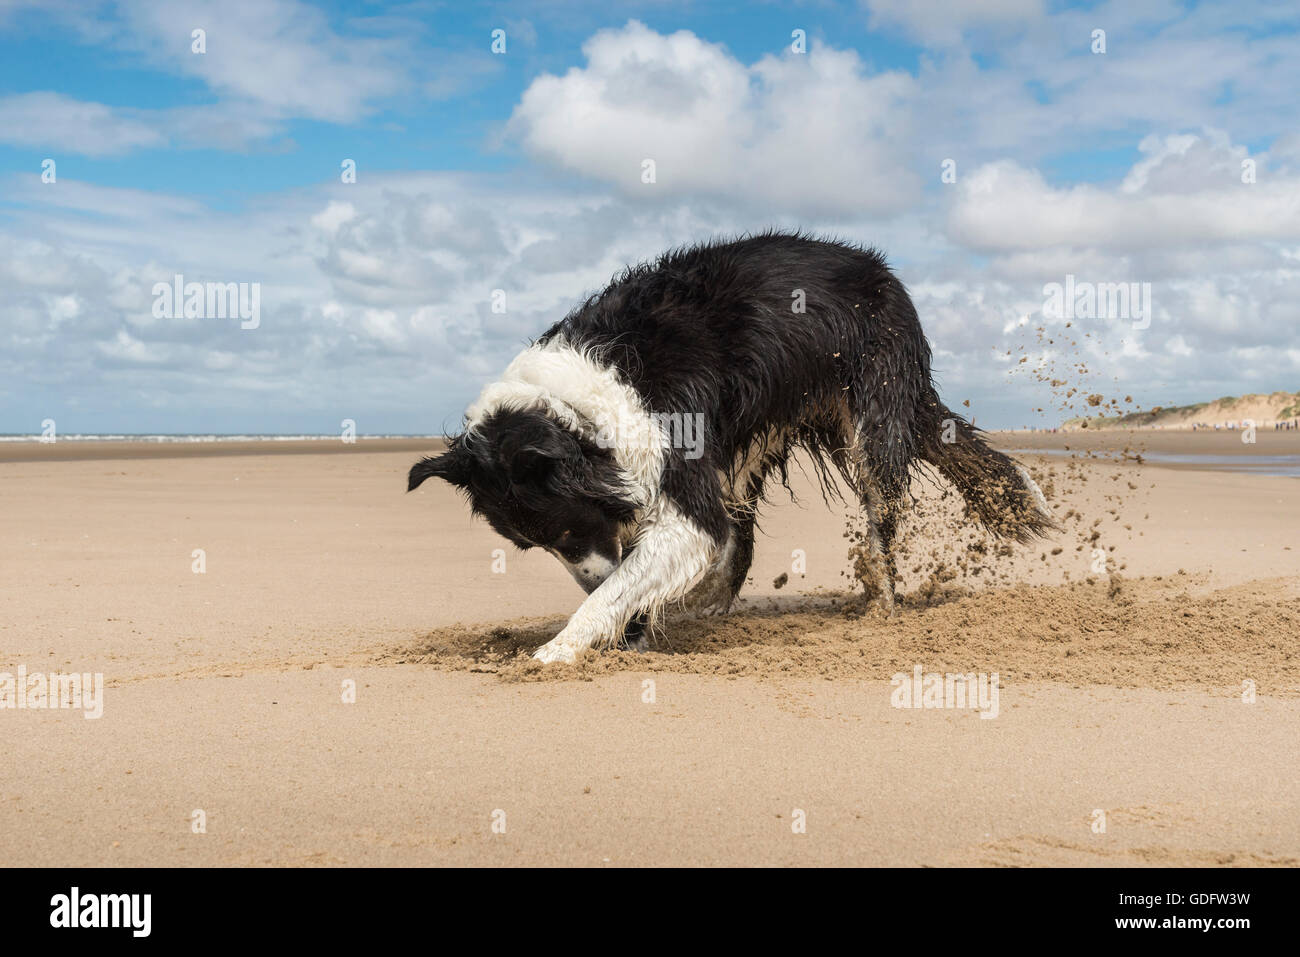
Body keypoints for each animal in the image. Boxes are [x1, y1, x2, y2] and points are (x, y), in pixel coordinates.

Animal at [410, 235, 1050, 660]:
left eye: (570, 529)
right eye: (533, 546)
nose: (588, 577)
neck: (577, 406)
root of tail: (883, 271)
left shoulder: (677, 482)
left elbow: (634, 576)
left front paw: (556, 651)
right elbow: (653, 567)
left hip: (870, 412)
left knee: (877, 515)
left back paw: (880, 608)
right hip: (754, 439)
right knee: (739, 537)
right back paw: (709, 606)